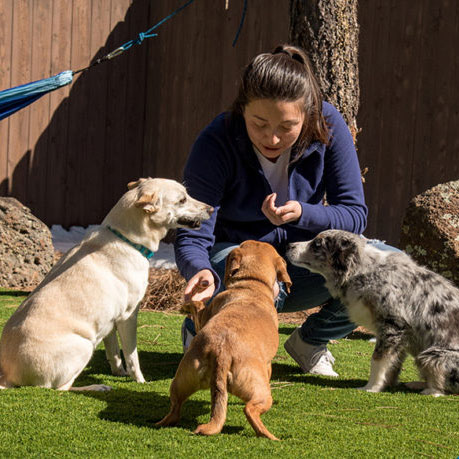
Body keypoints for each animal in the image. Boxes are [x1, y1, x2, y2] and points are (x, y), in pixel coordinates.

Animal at [0, 179, 212, 392]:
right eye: (182, 200)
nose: (211, 209)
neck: (126, 240)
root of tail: (7, 376)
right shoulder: (128, 316)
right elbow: (132, 356)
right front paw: (140, 380)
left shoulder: (109, 321)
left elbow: (114, 351)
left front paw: (119, 372)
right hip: (84, 346)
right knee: (60, 389)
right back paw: (96, 387)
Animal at [158, 239, 292, 440]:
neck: (252, 284)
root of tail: (222, 352)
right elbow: (198, 307)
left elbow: (197, 306)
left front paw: (187, 305)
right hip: (261, 391)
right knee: (250, 410)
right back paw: (270, 436)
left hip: (182, 379)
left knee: (175, 408)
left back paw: (161, 422)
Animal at [288, 232, 459, 398]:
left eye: (317, 244)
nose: (289, 245)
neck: (365, 271)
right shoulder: (400, 336)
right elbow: (393, 364)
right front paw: (386, 384)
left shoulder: (392, 326)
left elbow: (378, 360)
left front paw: (371, 387)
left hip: (432, 356)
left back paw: (430, 391)